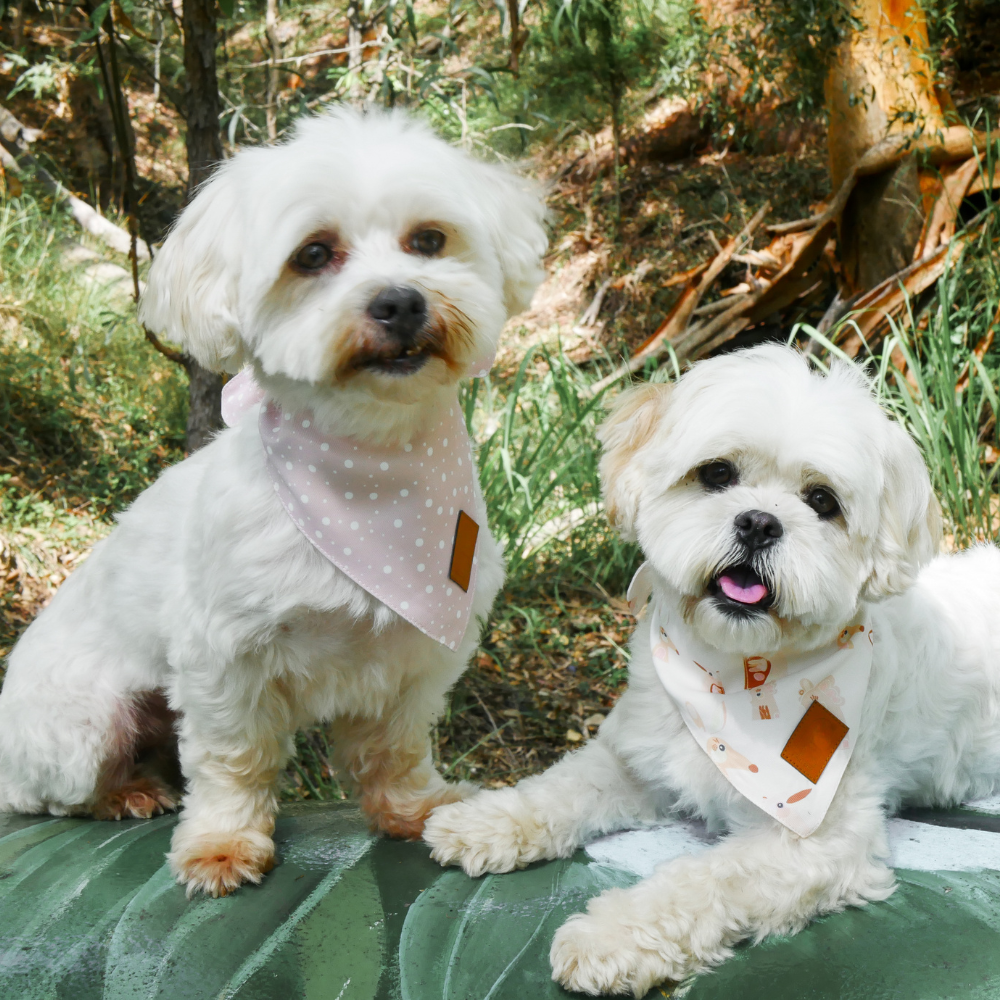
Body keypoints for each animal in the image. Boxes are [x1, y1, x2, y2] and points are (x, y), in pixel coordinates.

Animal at [0, 109, 548, 900]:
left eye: (428, 240)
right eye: (313, 254)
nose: (401, 300)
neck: (371, 464)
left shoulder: (415, 653)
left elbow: (396, 744)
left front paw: (413, 807)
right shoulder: (224, 659)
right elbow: (234, 760)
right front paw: (222, 843)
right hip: (84, 723)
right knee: (46, 796)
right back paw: (124, 792)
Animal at [424, 344, 1000, 992]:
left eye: (822, 501)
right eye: (717, 474)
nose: (759, 523)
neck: (730, 675)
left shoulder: (815, 839)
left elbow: (703, 880)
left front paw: (609, 935)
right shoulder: (636, 757)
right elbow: (557, 787)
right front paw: (485, 820)